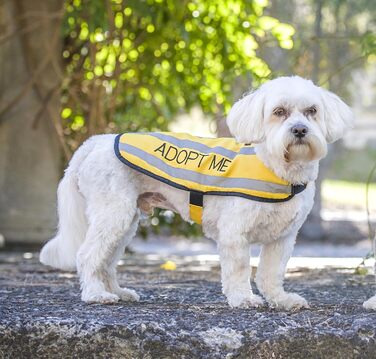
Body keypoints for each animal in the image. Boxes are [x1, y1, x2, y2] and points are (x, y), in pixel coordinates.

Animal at [41, 75, 356, 310]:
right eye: (279, 112)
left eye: (312, 111)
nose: (300, 129)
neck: (276, 166)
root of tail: (94, 143)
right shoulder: (234, 233)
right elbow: (240, 268)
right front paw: (243, 299)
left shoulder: (282, 238)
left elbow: (271, 272)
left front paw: (280, 300)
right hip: (113, 214)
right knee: (88, 256)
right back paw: (96, 294)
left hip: (125, 220)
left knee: (106, 260)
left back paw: (117, 292)